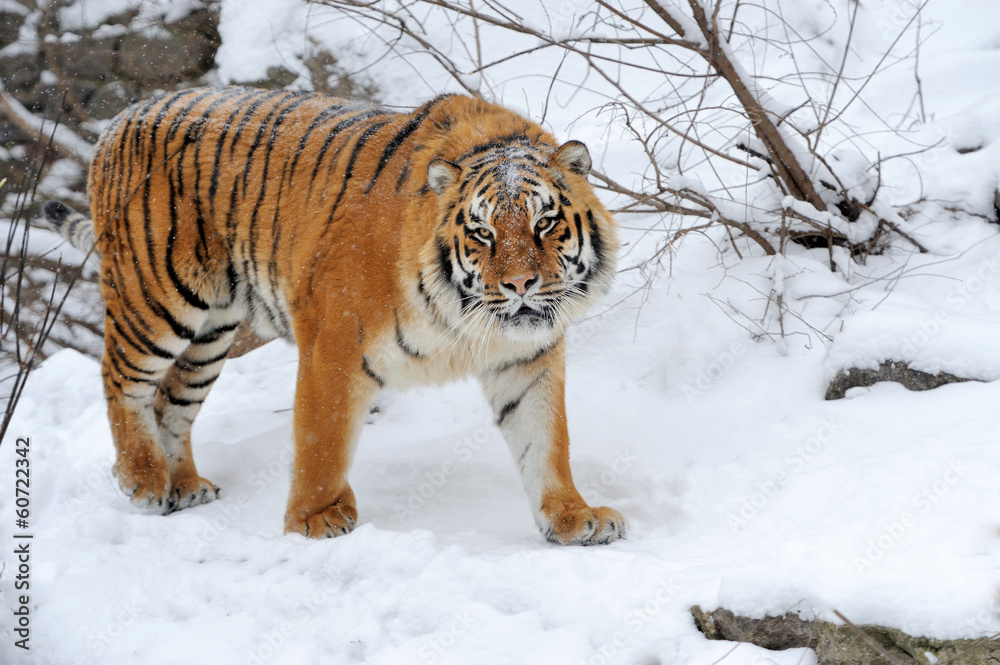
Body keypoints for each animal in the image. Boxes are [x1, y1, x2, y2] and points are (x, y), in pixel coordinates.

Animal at [44, 85, 626, 545]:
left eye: (544, 223)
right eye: (482, 232)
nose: (520, 284)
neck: (465, 319)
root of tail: (120, 119)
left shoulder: (527, 360)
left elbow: (546, 441)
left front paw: (573, 517)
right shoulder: (334, 344)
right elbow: (320, 443)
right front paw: (314, 520)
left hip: (212, 332)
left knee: (171, 401)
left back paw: (182, 486)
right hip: (158, 296)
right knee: (120, 376)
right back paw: (143, 480)